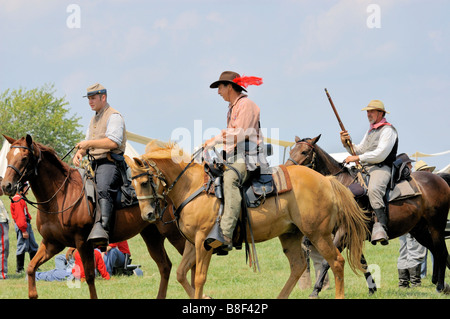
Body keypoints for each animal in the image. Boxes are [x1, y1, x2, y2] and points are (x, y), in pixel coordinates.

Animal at [0, 135, 190, 300]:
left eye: (24, 158)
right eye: (8, 156)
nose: (6, 186)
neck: (60, 195)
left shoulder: (83, 243)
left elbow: (90, 277)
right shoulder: (52, 244)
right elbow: (31, 268)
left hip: (174, 234)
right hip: (152, 235)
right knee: (165, 266)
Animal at [124, 142, 370, 300]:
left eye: (144, 182)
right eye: (132, 184)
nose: (147, 215)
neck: (191, 186)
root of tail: (326, 181)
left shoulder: (204, 242)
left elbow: (199, 277)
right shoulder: (192, 243)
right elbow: (182, 274)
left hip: (319, 234)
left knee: (336, 262)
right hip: (290, 234)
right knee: (298, 266)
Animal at [288, 136, 450, 298]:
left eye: (304, 152)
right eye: (291, 151)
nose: (288, 170)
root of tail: (440, 179)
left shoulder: (343, 233)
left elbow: (328, 261)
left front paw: (315, 290)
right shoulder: (352, 236)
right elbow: (362, 263)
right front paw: (372, 288)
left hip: (436, 227)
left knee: (441, 253)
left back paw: (440, 286)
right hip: (420, 231)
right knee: (437, 252)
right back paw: (440, 283)